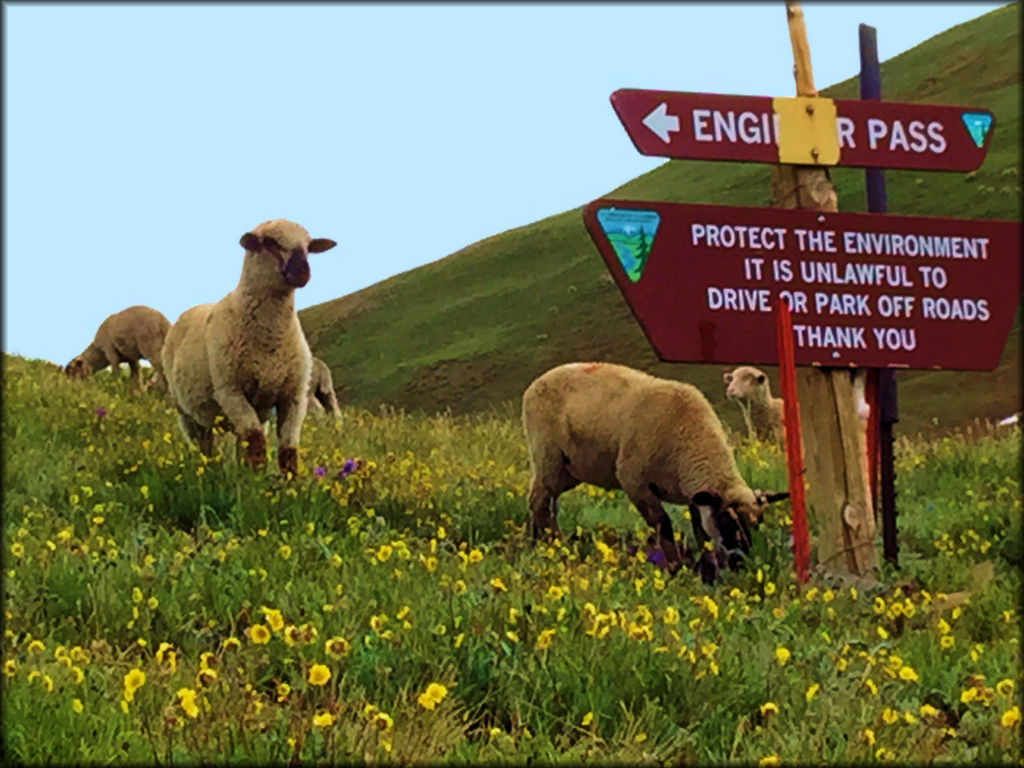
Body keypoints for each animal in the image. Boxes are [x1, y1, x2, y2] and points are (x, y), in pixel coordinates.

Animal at [159, 219, 335, 475]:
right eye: (270, 242)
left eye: (308, 246)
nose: (303, 271)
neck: (271, 342)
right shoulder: (230, 391)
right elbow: (256, 442)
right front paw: (257, 480)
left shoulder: (294, 395)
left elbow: (287, 449)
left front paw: (290, 482)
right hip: (188, 413)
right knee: (206, 446)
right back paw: (213, 472)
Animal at [524, 362, 786, 581]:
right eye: (726, 523)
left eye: (758, 524)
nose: (741, 566)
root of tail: (537, 382)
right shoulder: (633, 481)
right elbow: (663, 524)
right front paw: (676, 569)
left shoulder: (694, 495)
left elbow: (701, 532)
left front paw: (708, 569)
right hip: (548, 456)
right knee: (540, 500)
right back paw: (554, 545)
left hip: (568, 470)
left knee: (542, 500)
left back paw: (538, 541)